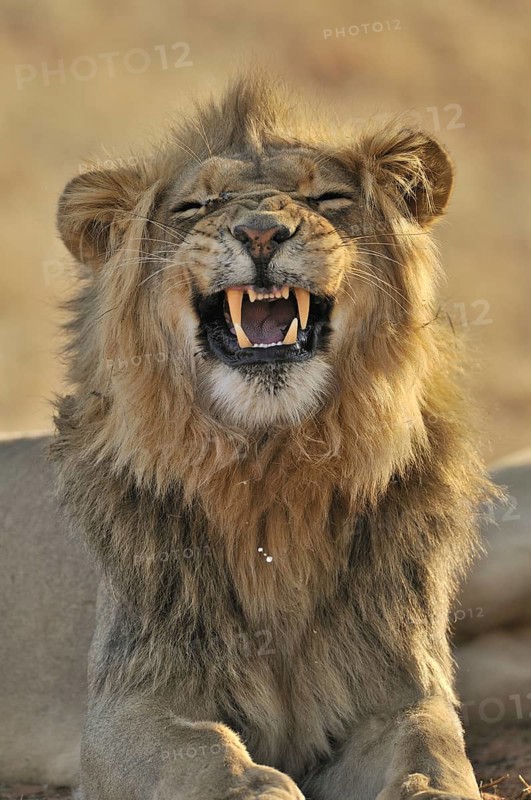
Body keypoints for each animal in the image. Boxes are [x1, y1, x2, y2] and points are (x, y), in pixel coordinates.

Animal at [47, 74, 497, 800]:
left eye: (328, 199)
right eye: (196, 205)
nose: (261, 231)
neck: (272, 464)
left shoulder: (397, 691)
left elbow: (431, 748)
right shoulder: (125, 706)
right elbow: (203, 751)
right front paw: (257, 787)